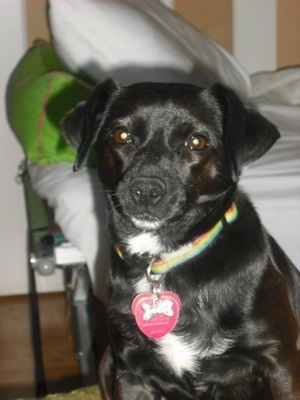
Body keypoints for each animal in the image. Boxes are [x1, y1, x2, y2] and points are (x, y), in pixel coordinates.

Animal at [62, 79, 300, 398]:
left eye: (196, 142)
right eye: (121, 135)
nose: (146, 191)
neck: (162, 258)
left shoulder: (280, 362)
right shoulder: (132, 373)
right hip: (106, 362)